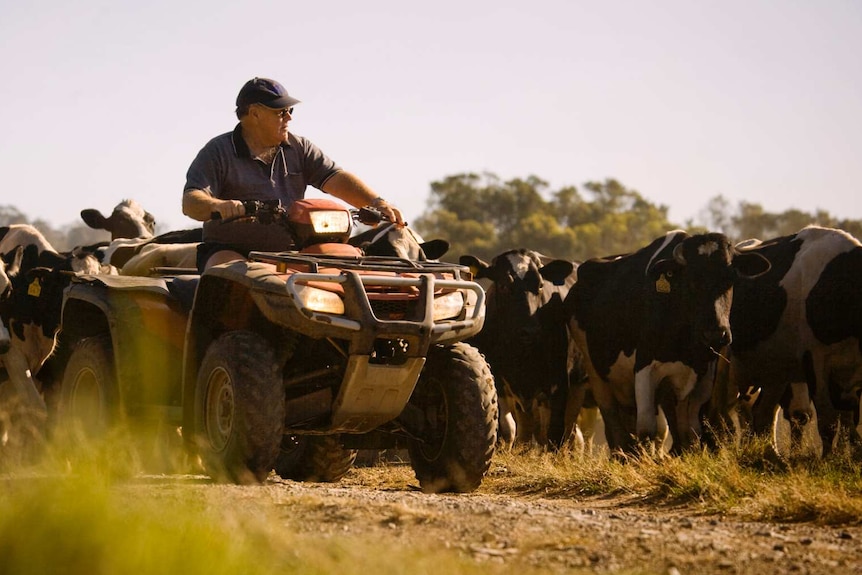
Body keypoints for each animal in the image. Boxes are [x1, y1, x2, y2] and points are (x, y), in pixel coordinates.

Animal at [460, 249, 580, 450]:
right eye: (503, 285)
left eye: (540, 285)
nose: (530, 330)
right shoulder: (498, 379)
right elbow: (507, 428)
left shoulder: (558, 382)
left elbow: (554, 432)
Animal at [564, 231, 772, 454]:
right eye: (691, 280)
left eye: (730, 278)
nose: (716, 333)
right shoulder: (645, 368)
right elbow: (647, 429)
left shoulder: (703, 374)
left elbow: (690, 430)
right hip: (596, 374)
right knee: (613, 421)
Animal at [728, 227, 862, 456]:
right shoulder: (814, 359)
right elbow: (828, 421)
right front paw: (828, 459)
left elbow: (849, 420)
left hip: (775, 371)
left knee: (762, 414)